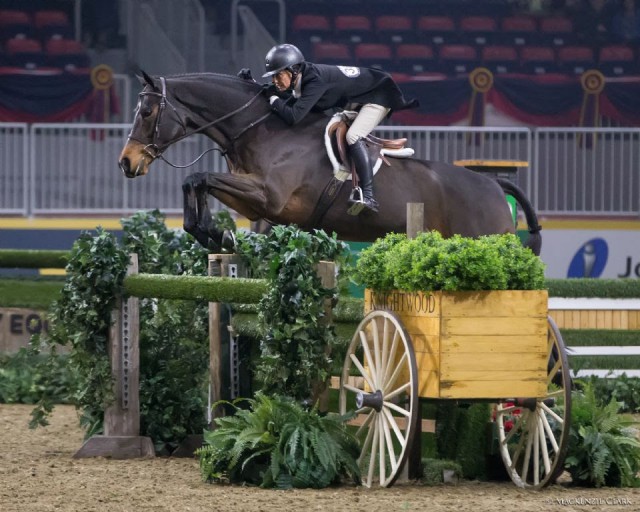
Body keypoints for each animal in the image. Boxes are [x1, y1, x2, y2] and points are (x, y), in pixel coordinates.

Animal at [116, 71, 540, 255]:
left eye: (148, 112)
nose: (126, 163)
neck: (264, 128)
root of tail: (493, 184)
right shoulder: (256, 203)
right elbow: (196, 182)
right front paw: (211, 233)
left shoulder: (269, 197)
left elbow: (200, 177)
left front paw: (216, 234)